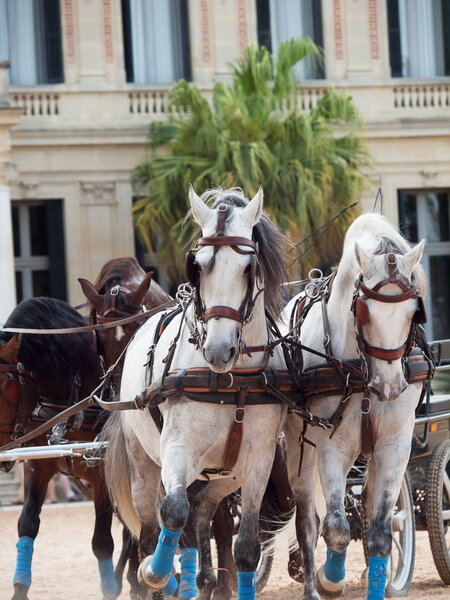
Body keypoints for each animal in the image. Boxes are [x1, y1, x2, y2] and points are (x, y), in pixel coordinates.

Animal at [103, 188, 290, 600]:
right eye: (198, 266)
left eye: (248, 268)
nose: (218, 351)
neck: (231, 383)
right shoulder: (178, 451)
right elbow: (173, 511)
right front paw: (156, 573)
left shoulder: (258, 462)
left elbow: (247, 547)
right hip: (144, 465)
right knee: (151, 529)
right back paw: (156, 574)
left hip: (224, 473)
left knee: (204, 509)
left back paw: (204, 578)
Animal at [282, 214, 428, 600]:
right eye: (364, 312)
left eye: (414, 312)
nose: (389, 388)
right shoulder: (332, 447)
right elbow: (336, 528)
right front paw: (330, 579)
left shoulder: (395, 444)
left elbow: (379, 534)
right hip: (300, 450)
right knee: (308, 521)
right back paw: (313, 586)